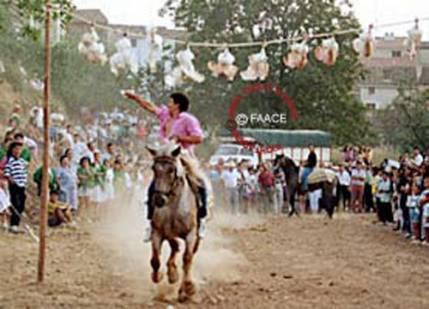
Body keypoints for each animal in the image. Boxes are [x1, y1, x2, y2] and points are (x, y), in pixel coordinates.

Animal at [146, 142, 200, 300]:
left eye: (171, 170)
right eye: (154, 168)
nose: (159, 199)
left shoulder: (191, 233)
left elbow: (187, 258)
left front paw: (187, 288)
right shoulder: (158, 232)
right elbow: (155, 260)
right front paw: (164, 275)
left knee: (190, 255)